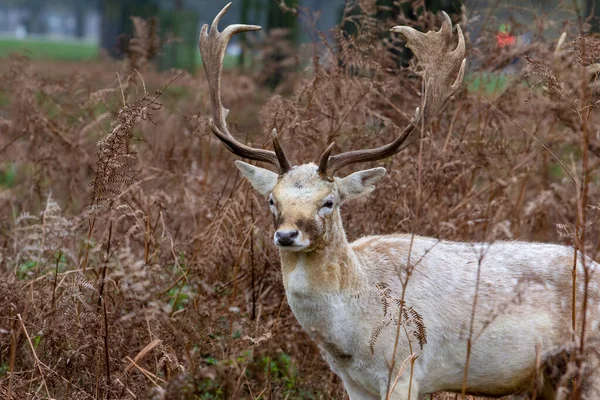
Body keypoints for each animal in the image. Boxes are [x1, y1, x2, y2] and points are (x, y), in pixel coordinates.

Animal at [199, 3, 600, 400]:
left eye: (329, 201)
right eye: (272, 199)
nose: (286, 235)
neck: (352, 338)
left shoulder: (406, 363)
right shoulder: (352, 381)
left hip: (591, 364)